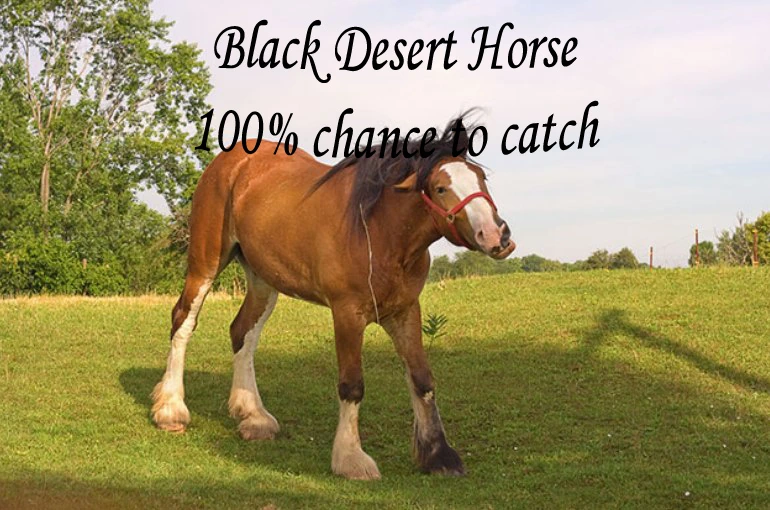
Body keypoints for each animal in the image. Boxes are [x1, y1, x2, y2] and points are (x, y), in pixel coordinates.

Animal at [150, 115, 516, 480]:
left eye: (481, 178)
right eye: (440, 188)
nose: (498, 236)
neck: (377, 232)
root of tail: (230, 162)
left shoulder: (405, 311)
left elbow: (422, 379)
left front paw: (439, 454)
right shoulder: (347, 314)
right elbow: (352, 385)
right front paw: (351, 458)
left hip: (262, 279)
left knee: (243, 332)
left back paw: (253, 416)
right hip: (206, 263)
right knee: (183, 320)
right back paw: (171, 409)